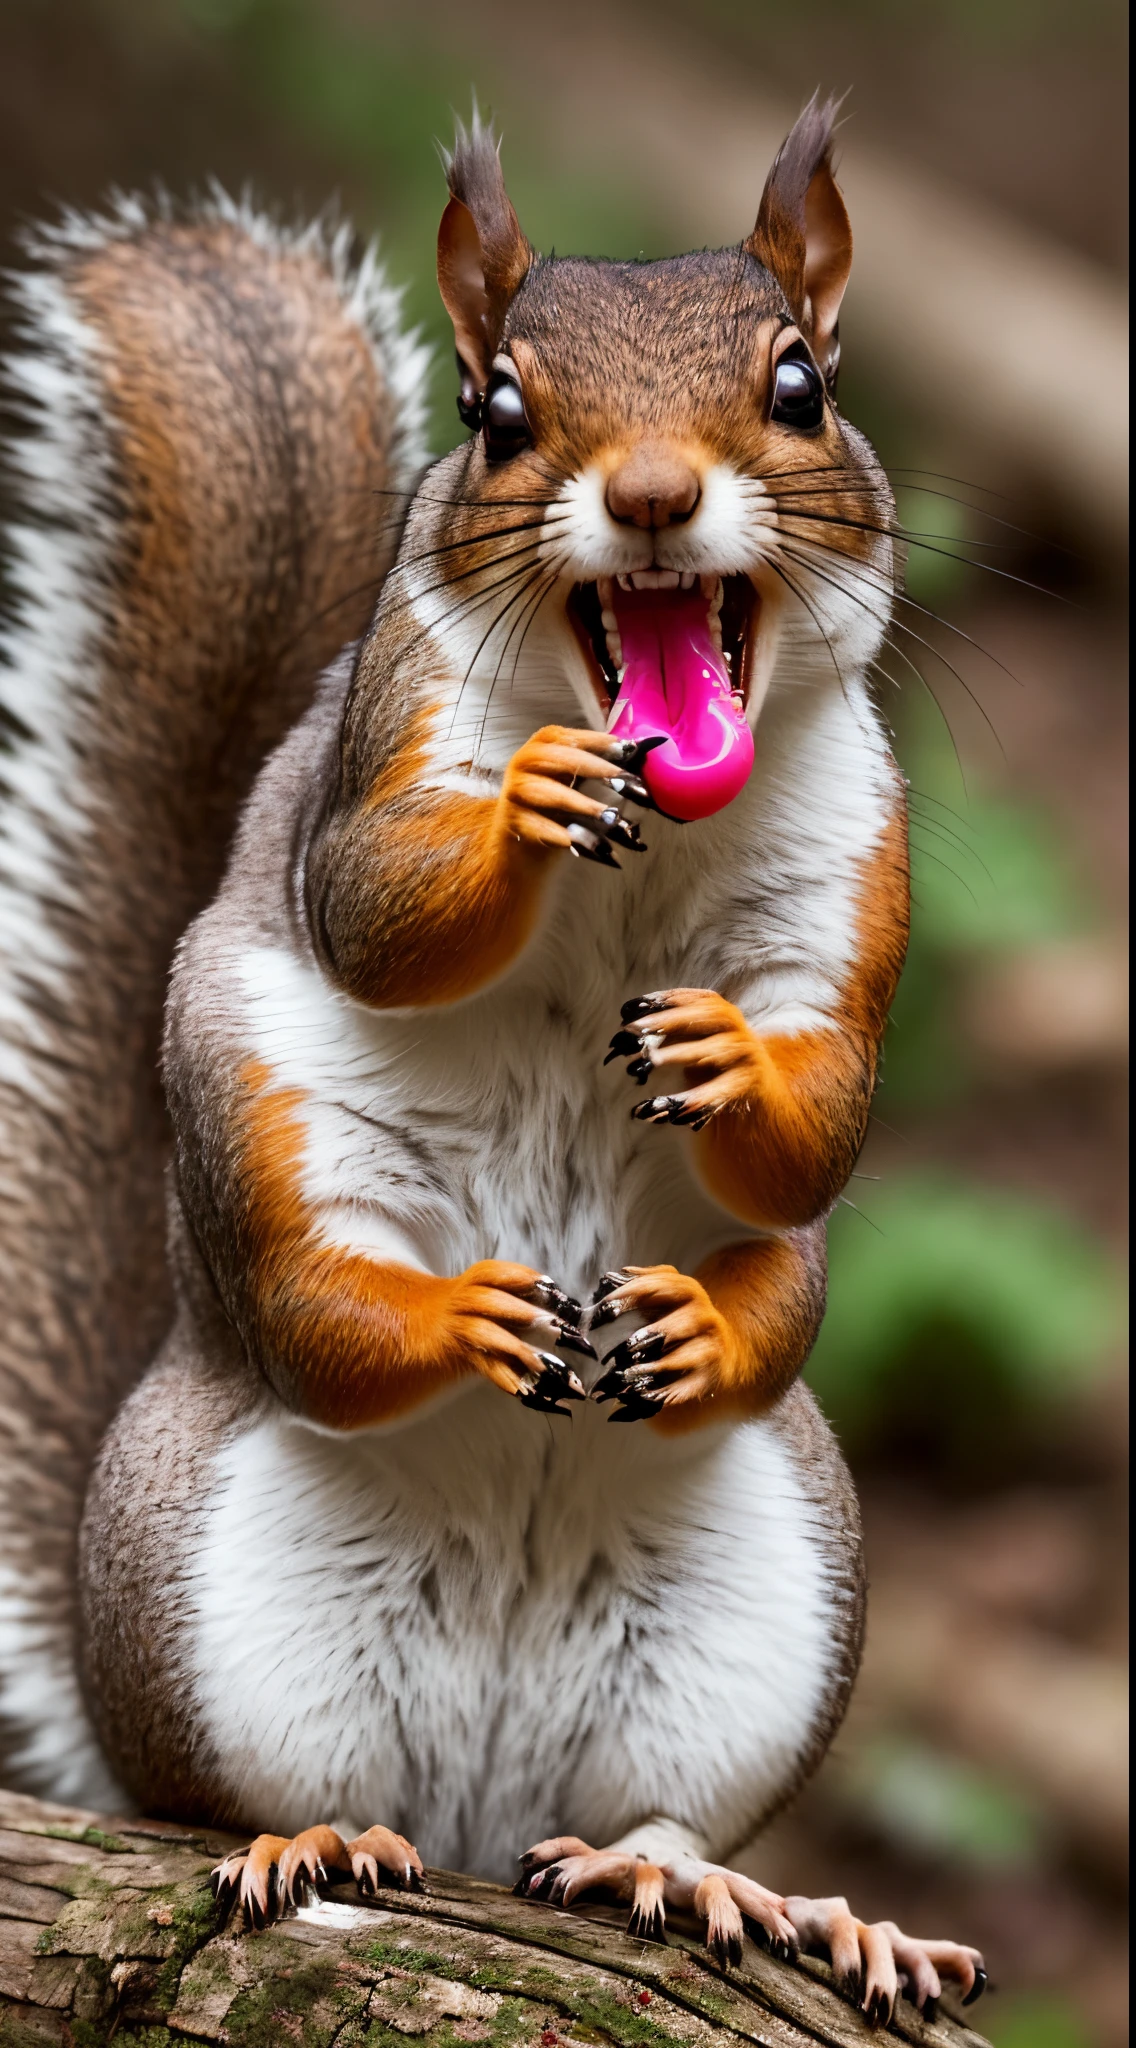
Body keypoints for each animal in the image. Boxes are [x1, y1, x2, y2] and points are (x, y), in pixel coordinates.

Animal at [0, 103, 986, 2023]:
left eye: (804, 384)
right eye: (497, 412)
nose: (656, 496)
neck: (654, 846)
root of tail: (473, 1801)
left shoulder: (862, 872)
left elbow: (819, 1140)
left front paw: (729, 1083)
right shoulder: (371, 764)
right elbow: (377, 911)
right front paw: (528, 798)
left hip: (764, 1606)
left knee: (656, 1808)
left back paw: (747, 1891)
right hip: (215, 1556)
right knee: (300, 1347)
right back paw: (320, 1828)